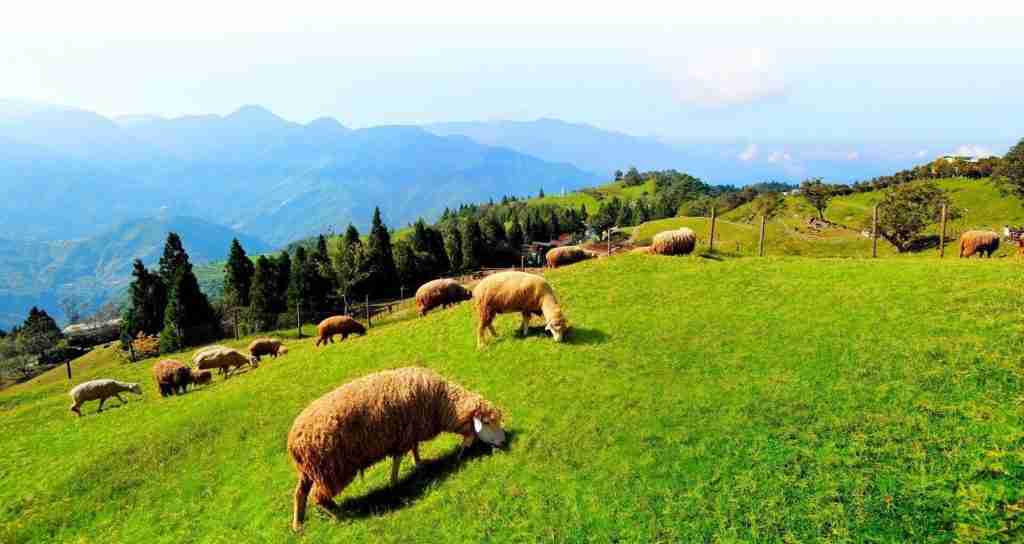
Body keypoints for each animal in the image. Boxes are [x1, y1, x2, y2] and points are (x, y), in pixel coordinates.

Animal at [286, 366, 505, 532]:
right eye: (487, 422)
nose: (503, 443)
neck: (441, 403)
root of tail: (293, 441)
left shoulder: (411, 431)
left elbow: (414, 449)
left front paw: (418, 463)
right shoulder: (403, 434)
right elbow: (398, 458)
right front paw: (394, 481)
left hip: (309, 470)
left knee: (300, 494)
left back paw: (298, 524)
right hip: (330, 470)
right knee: (319, 498)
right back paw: (341, 515)